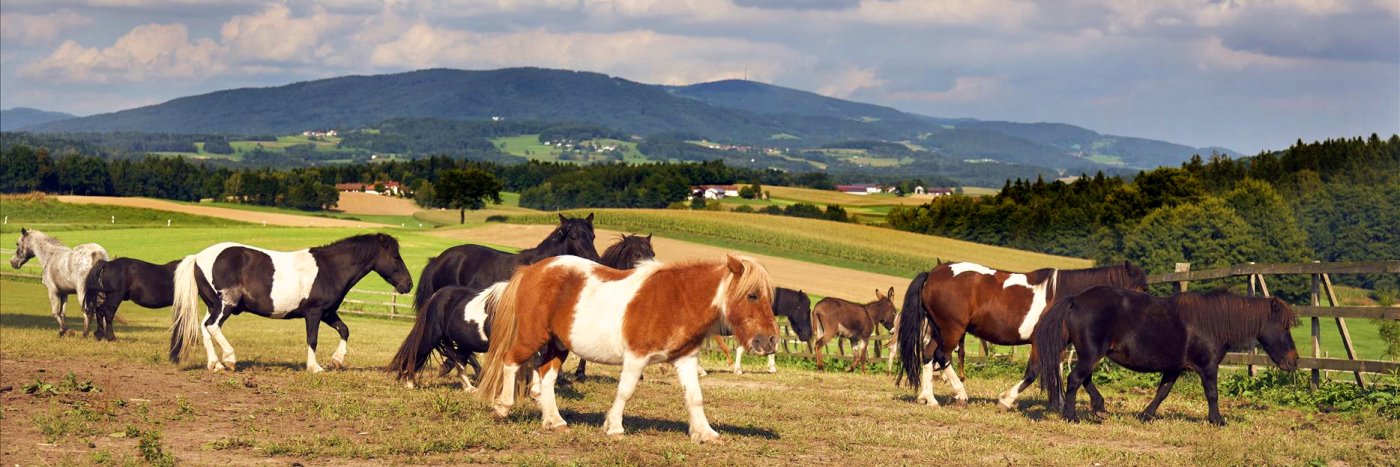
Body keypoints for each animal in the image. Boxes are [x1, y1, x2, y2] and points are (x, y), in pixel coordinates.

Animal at [478, 253, 784, 444]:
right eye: (752, 295)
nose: (769, 341)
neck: (678, 299)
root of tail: (531, 271)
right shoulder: (636, 357)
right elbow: (625, 391)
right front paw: (614, 426)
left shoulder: (686, 359)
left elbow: (695, 397)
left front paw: (705, 433)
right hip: (532, 337)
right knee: (510, 362)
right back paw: (502, 408)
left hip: (558, 344)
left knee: (547, 378)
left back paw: (554, 420)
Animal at [896, 262, 1148, 408]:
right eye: (1143, 288)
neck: (1065, 297)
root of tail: (933, 274)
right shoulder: (1039, 342)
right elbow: (1035, 372)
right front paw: (1006, 400)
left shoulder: (1056, 344)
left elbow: (1057, 370)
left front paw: (1059, 403)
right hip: (952, 329)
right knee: (942, 356)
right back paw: (960, 394)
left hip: (940, 329)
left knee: (928, 354)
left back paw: (928, 398)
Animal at [1030, 286, 1299, 425]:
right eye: (1284, 327)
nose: (1294, 361)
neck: (1212, 323)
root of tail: (1076, 300)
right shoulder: (1208, 366)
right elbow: (1212, 394)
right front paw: (1217, 420)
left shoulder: (1174, 367)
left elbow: (1162, 392)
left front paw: (1146, 415)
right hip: (1091, 355)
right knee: (1075, 379)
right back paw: (1072, 416)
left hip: (1089, 354)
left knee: (1083, 379)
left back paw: (1099, 407)